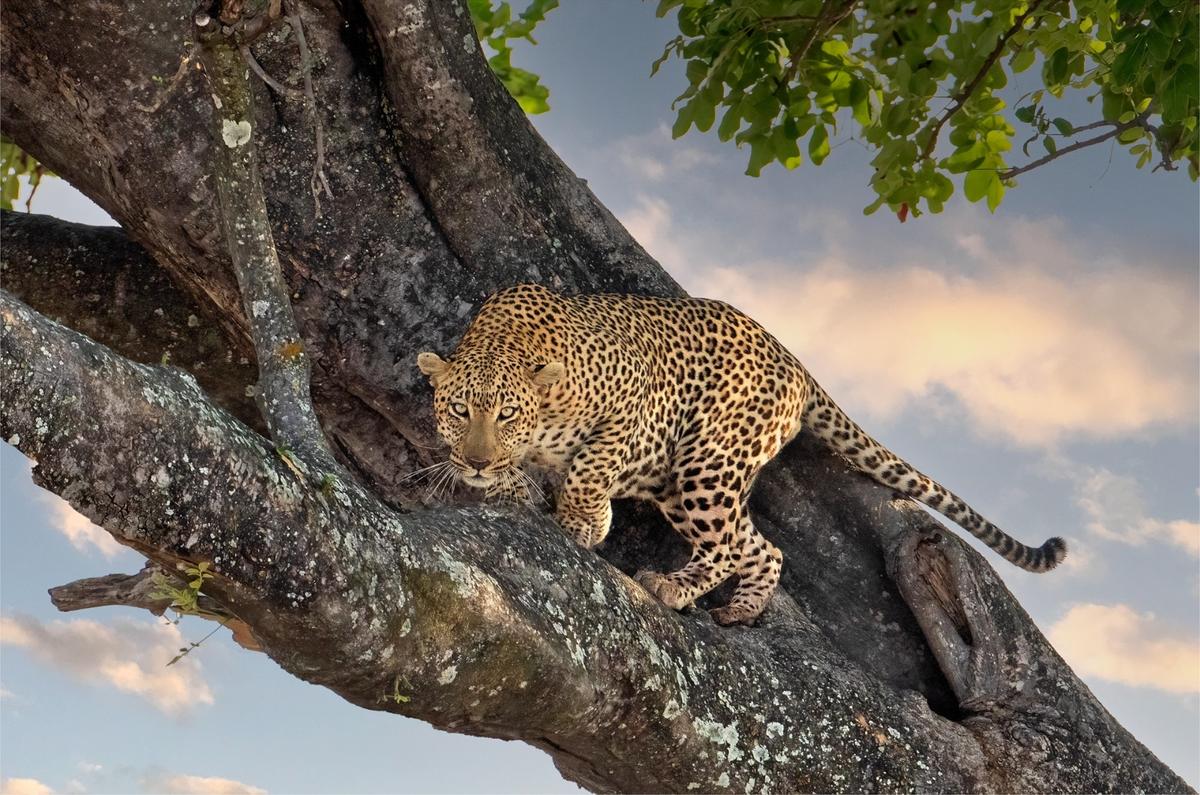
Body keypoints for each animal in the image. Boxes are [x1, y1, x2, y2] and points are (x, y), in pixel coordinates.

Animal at [422, 283, 1070, 624]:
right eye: (459, 411)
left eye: (506, 414)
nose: (476, 461)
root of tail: (796, 363)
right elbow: (522, 475)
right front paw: (511, 487)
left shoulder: (635, 411)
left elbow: (589, 470)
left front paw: (586, 522)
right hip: (686, 484)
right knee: (764, 547)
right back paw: (740, 608)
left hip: (703, 462)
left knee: (732, 545)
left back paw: (674, 587)